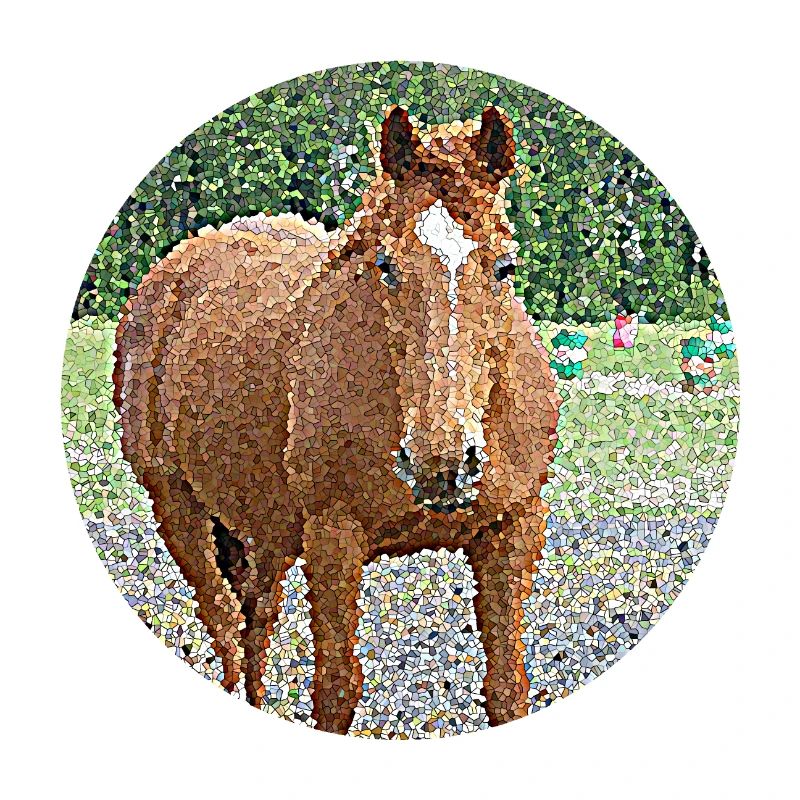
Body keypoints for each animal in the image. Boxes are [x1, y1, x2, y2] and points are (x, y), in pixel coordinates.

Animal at [113, 104, 561, 734]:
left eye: (505, 266)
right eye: (386, 266)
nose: (443, 464)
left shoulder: (512, 530)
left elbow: (506, 692)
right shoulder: (332, 538)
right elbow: (335, 693)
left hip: (265, 529)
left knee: (255, 623)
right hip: (178, 506)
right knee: (226, 626)